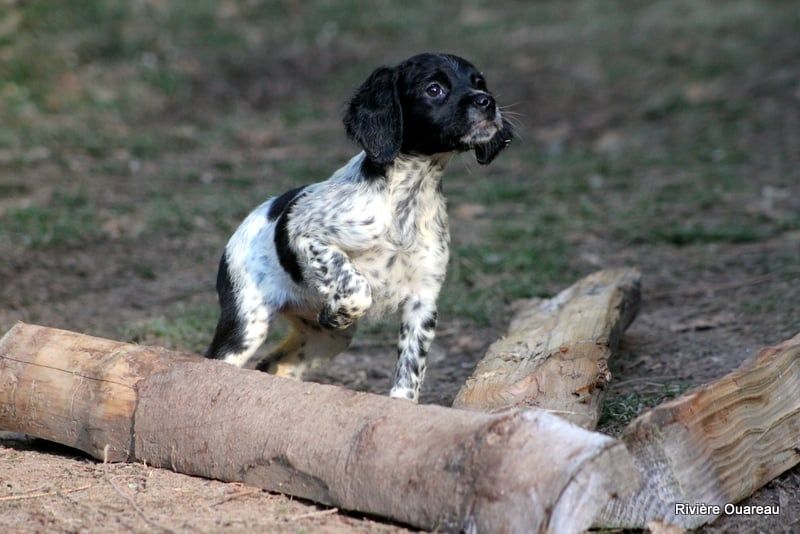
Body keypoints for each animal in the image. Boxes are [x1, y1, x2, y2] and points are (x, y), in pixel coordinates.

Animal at [205, 53, 512, 402]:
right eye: (434, 89)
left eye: (480, 83)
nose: (487, 102)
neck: (407, 199)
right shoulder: (306, 233)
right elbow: (356, 286)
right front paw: (337, 310)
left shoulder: (423, 299)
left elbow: (410, 368)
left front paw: (401, 404)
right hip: (246, 323)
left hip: (325, 339)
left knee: (273, 364)